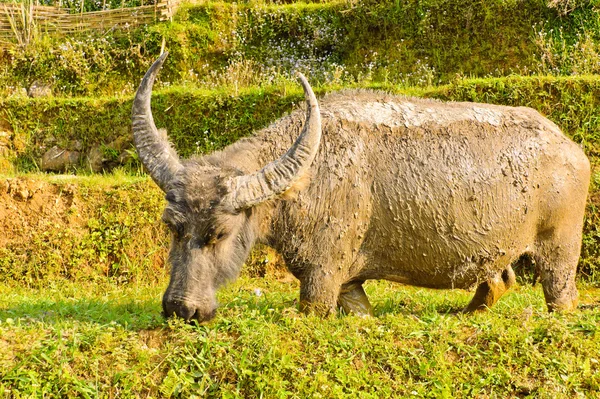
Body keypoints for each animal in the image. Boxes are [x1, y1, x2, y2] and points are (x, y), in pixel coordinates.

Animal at [132, 54, 592, 322]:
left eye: (220, 234)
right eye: (172, 227)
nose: (182, 308)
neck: (309, 178)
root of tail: (570, 147)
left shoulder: (321, 274)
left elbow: (313, 308)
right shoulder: (348, 281)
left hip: (560, 250)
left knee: (560, 294)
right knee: (498, 281)